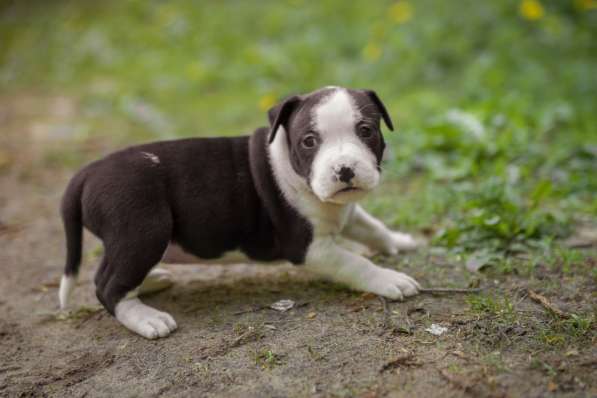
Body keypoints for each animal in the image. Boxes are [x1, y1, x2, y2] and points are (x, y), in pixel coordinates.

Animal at [57, 87, 420, 338]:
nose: (345, 169)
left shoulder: (346, 212)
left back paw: (152, 281)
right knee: (107, 286)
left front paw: (402, 242)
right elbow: (355, 262)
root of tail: (87, 172)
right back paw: (146, 318)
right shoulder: (310, 248)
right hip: (144, 231)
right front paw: (389, 279)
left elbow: (373, 227)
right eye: (309, 141)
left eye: (366, 130)